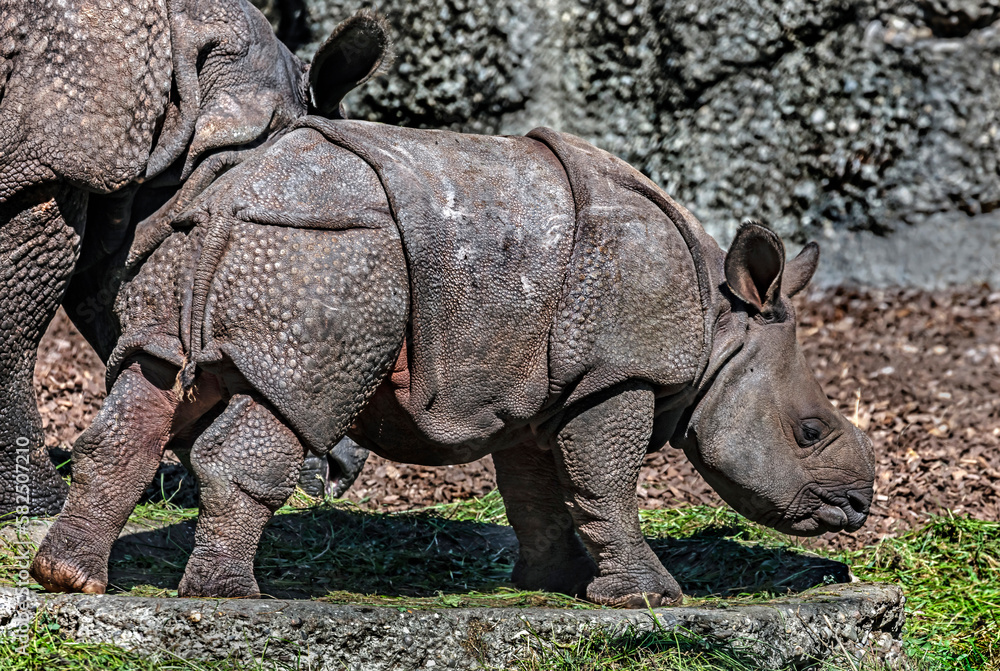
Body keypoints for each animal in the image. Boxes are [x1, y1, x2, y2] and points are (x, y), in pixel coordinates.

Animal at [31, 117, 876, 606]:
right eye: (808, 431)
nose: (857, 507)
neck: (720, 323)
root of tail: (228, 199)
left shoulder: (543, 385)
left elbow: (539, 489)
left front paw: (555, 584)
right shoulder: (617, 370)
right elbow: (605, 480)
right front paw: (650, 599)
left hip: (201, 240)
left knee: (150, 382)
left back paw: (69, 579)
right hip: (330, 256)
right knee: (296, 398)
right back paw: (231, 598)